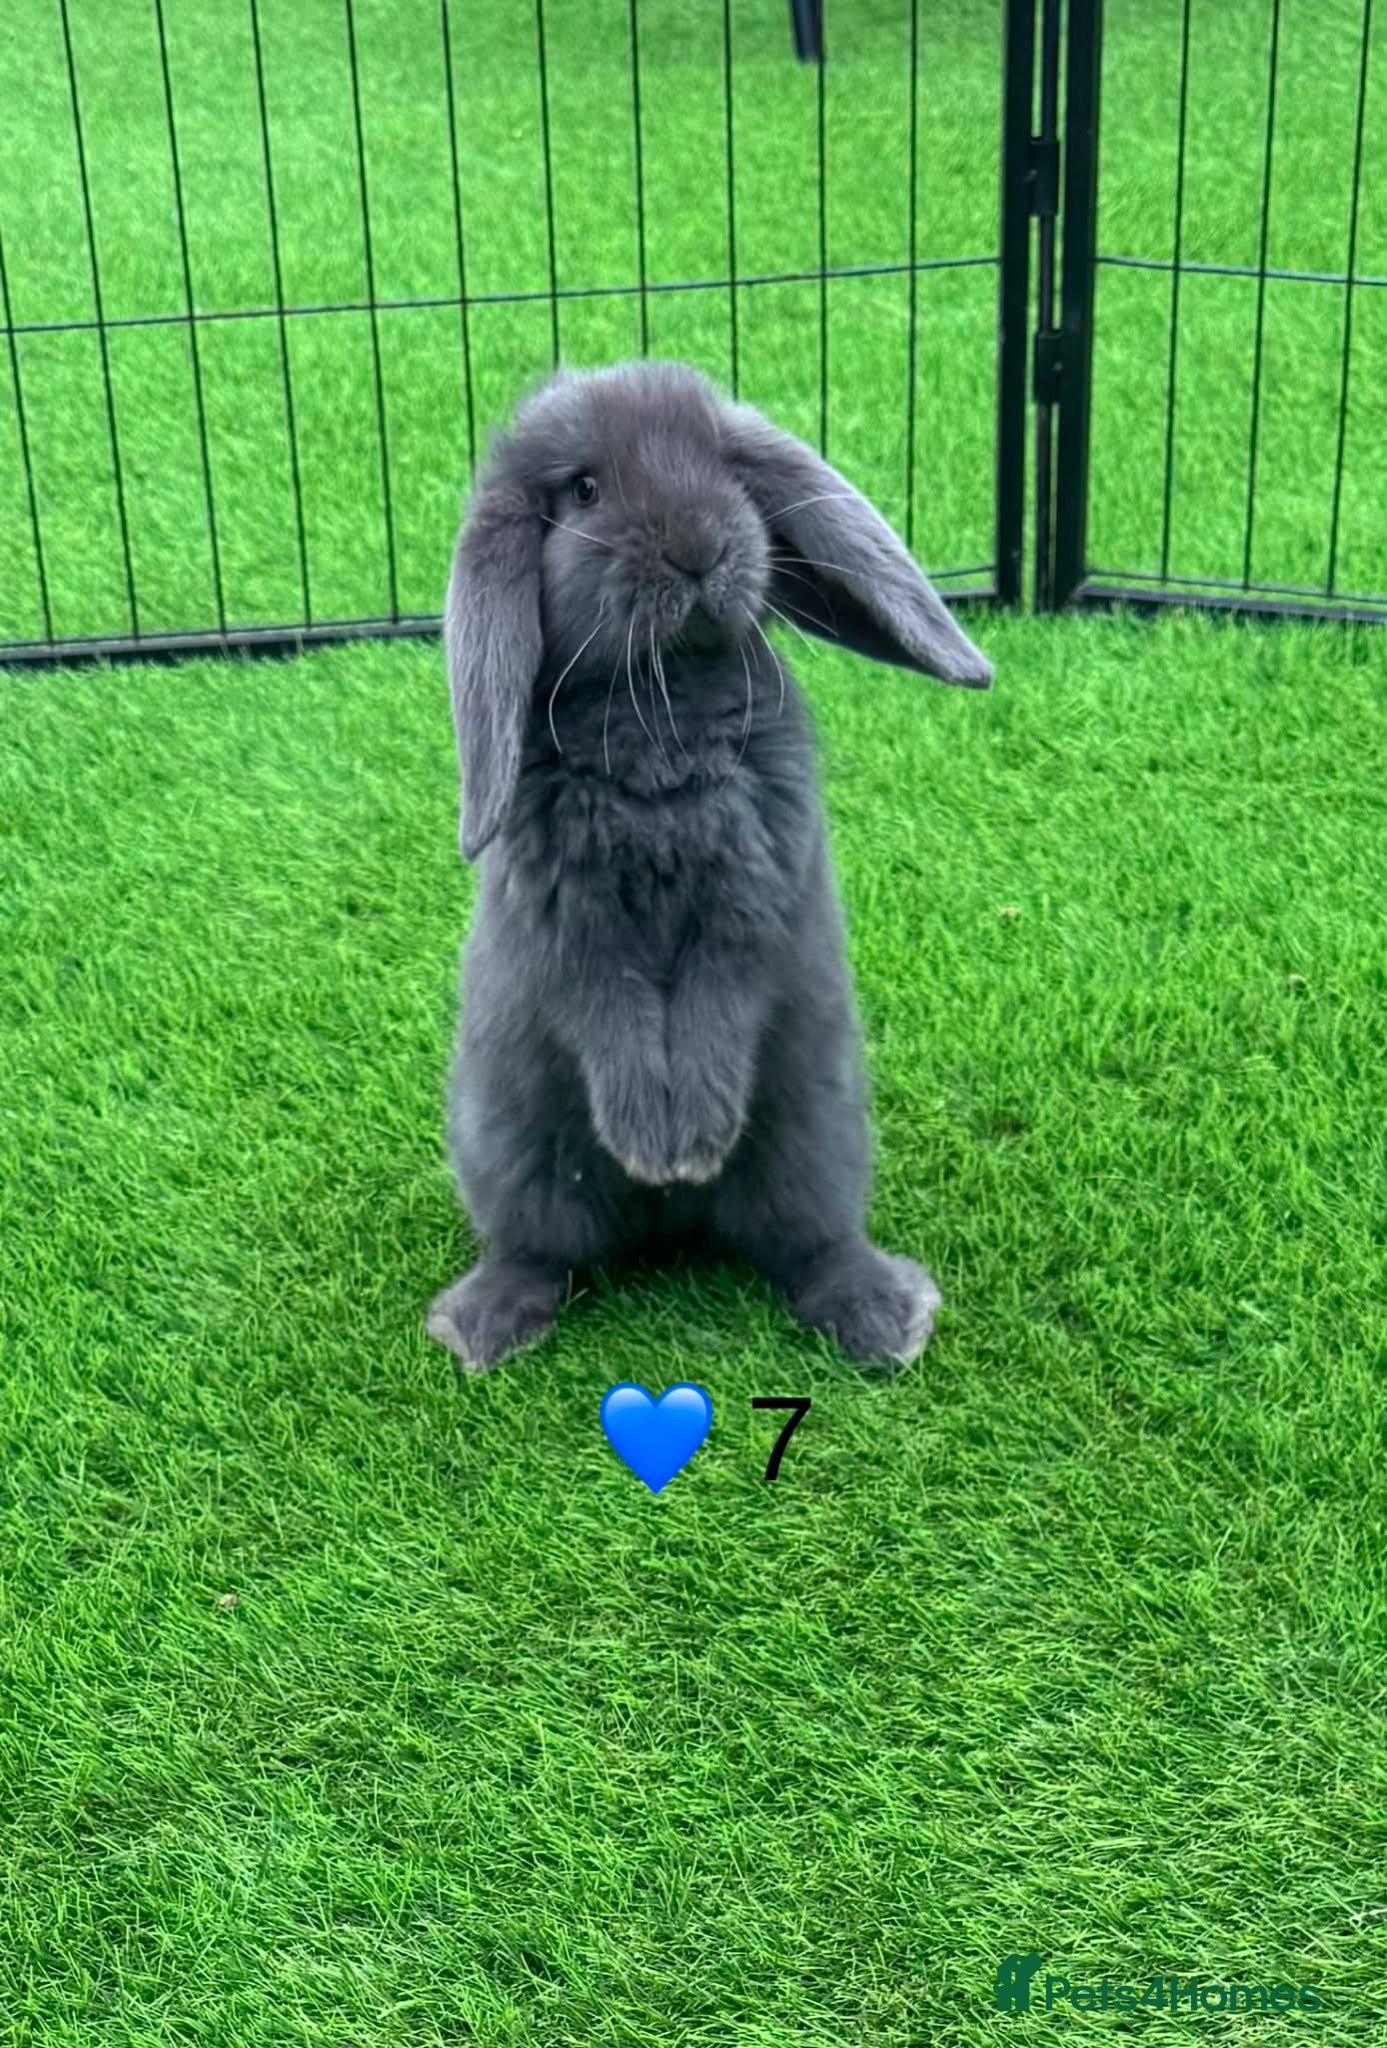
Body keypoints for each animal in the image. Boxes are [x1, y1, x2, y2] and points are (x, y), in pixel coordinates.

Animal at [426, 359, 993, 1373]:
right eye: (583, 489)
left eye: (724, 468)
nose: (699, 549)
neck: (659, 703)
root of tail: (671, 1230)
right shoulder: (577, 928)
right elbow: (611, 1010)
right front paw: (657, 1147)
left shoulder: (749, 909)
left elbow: (717, 1003)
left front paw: (688, 1144)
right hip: (511, 1150)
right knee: (540, 1252)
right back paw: (482, 1325)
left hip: (815, 1140)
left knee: (810, 1246)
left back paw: (885, 1316)